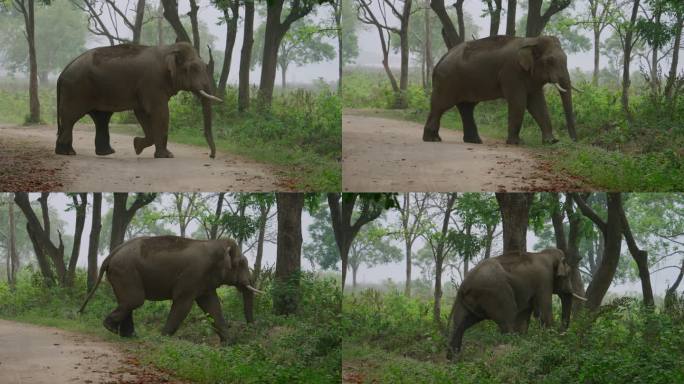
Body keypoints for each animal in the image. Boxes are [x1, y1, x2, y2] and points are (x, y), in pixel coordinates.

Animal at [56, 43, 222, 159]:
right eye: (193, 68)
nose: (211, 155)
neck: (169, 49)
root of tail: (63, 72)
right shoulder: (152, 82)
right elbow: (161, 112)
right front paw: (166, 156)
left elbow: (142, 113)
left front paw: (137, 146)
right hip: (76, 90)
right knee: (71, 118)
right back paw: (67, 153)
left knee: (100, 118)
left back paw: (100, 153)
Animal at [78, 236, 264, 344]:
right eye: (241, 263)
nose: (251, 331)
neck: (216, 244)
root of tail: (112, 253)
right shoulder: (193, 274)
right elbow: (183, 303)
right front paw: (162, 339)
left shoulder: (204, 280)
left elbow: (212, 306)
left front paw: (229, 344)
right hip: (125, 271)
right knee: (134, 300)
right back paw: (112, 328)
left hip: (121, 274)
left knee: (128, 302)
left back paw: (128, 335)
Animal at [424, 35, 580, 146]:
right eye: (550, 61)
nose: (574, 141)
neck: (532, 40)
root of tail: (441, 59)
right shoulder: (511, 72)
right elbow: (519, 103)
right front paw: (517, 143)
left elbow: (538, 104)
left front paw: (551, 142)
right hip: (446, 81)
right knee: (440, 106)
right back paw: (432, 139)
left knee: (466, 108)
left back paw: (474, 141)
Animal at [446, 249, 584, 360]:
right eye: (568, 274)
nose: (562, 333)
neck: (546, 253)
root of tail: (463, 285)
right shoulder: (544, 280)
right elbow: (544, 313)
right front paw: (551, 342)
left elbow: (524, 315)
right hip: (496, 294)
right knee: (508, 318)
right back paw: (510, 349)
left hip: (467, 301)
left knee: (460, 324)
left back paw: (452, 360)